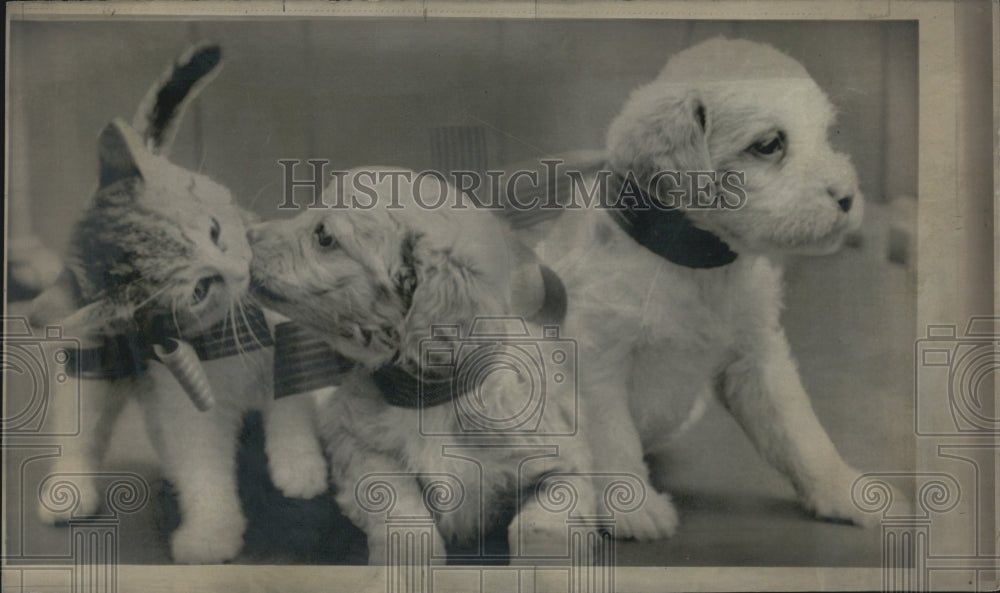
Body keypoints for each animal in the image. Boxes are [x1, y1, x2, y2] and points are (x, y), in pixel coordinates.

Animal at [30, 44, 328, 560]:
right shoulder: (183, 401)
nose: (241, 269)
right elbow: (200, 465)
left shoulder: (288, 330)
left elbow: (292, 399)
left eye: (214, 229)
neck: (231, 330)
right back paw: (70, 487)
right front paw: (210, 533)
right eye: (200, 289)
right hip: (93, 358)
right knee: (81, 420)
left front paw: (299, 464)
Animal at [520, 37, 880, 536]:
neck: (696, 261)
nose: (847, 198)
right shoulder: (594, 359)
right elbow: (612, 437)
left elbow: (798, 431)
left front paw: (840, 489)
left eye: (828, 136)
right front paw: (632, 508)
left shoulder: (756, 358)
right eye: (769, 145)